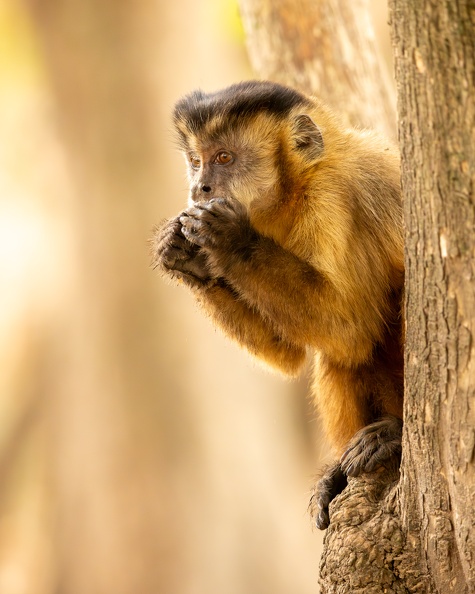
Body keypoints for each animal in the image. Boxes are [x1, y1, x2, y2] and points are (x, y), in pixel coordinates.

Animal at [152, 78, 406, 528]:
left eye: (224, 158)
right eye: (196, 161)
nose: (199, 187)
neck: (296, 186)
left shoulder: (329, 199)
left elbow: (352, 328)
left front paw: (230, 240)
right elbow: (291, 354)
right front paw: (186, 258)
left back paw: (395, 432)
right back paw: (339, 475)